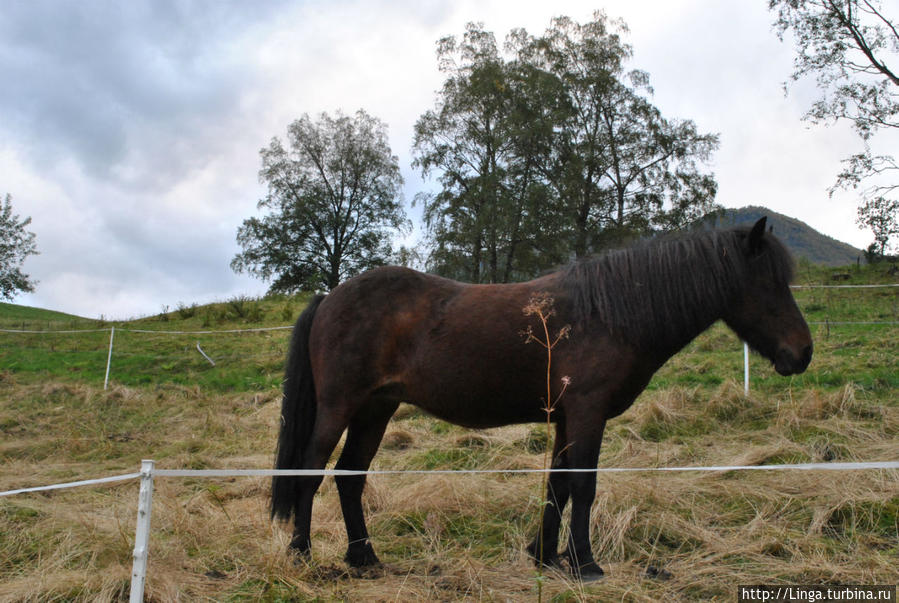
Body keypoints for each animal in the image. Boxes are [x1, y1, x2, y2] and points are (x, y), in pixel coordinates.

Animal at [270, 217, 812, 580]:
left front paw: (546, 557)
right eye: (769, 283)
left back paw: (364, 557)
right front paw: (586, 563)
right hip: (340, 406)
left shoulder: (568, 417)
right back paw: (302, 555)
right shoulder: (589, 412)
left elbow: (559, 484)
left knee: (350, 477)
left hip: (376, 409)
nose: (802, 353)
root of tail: (330, 297)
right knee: (311, 469)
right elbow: (584, 485)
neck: (610, 314)